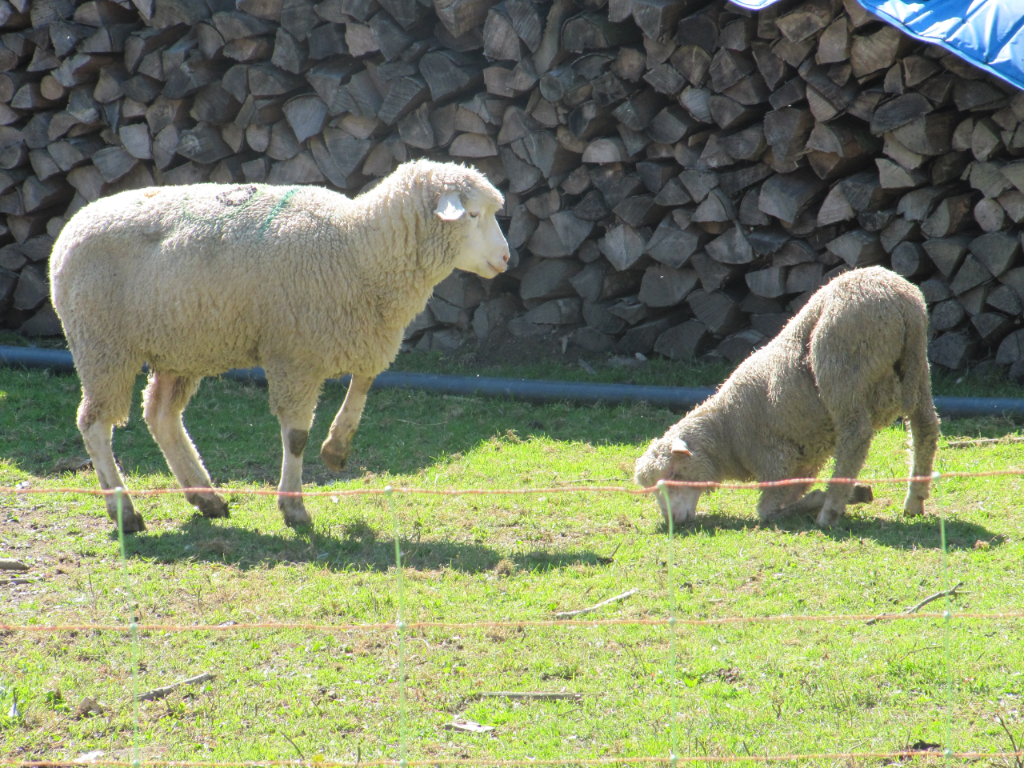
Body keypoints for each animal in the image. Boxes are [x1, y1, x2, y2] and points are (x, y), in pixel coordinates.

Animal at [49, 160, 509, 536]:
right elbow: (297, 436)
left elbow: (363, 382)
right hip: (102, 343)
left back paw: (206, 497)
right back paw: (124, 510)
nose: (506, 258)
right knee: (95, 424)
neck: (357, 247)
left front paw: (337, 448)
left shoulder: (357, 333)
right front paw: (294, 508)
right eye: (472, 214)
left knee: (160, 416)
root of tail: (71, 228)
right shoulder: (295, 356)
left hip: (179, 345)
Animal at [634, 268, 937, 528]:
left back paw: (830, 510)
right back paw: (914, 500)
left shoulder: (776, 460)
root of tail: (901, 300)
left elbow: (767, 513)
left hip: (842, 366)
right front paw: (850, 495)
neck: (727, 432)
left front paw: (824, 500)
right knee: (925, 426)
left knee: (856, 434)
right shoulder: (804, 463)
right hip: (918, 366)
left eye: (673, 474)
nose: (672, 521)